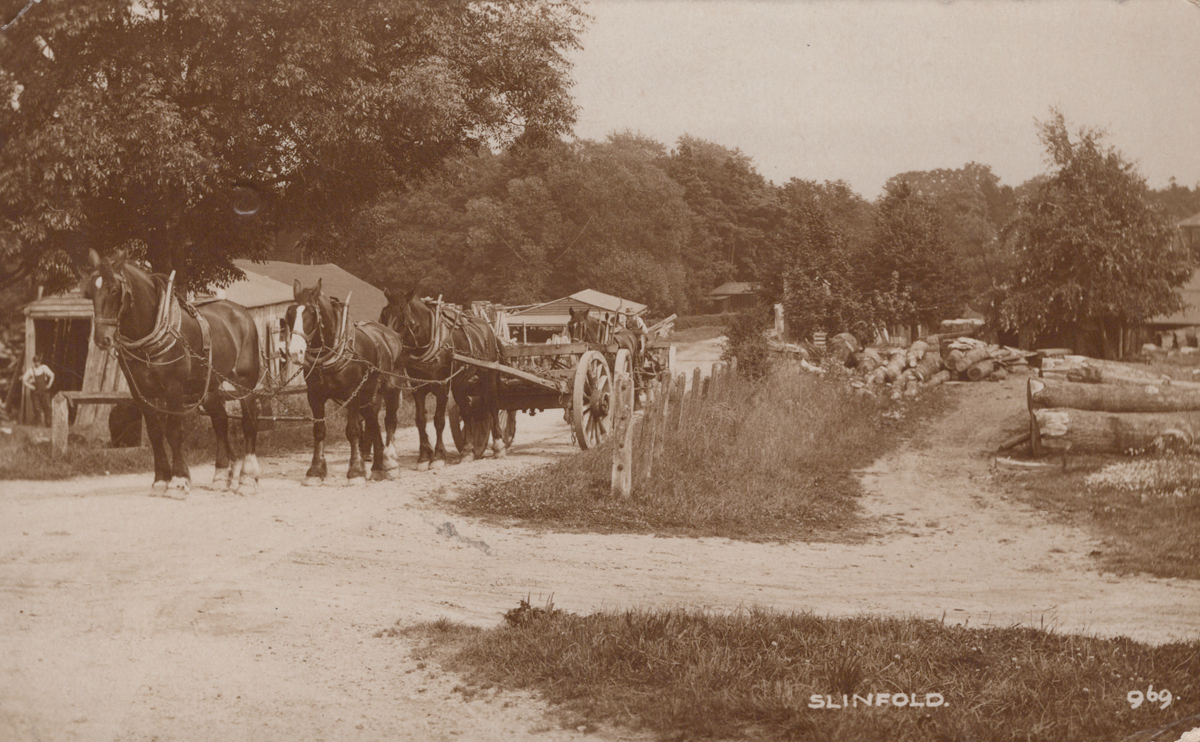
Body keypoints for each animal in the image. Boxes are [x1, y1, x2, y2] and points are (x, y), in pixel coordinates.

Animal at [84, 248, 262, 497]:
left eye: (113, 290)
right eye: (90, 292)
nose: (103, 339)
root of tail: (241, 312)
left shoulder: (174, 388)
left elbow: (174, 432)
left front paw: (178, 481)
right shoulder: (142, 392)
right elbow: (155, 434)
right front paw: (161, 480)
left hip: (244, 382)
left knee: (249, 423)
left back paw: (247, 478)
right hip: (207, 388)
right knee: (220, 422)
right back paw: (220, 475)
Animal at [283, 278, 405, 485]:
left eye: (311, 314)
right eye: (290, 313)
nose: (294, 352)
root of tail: (391, 335)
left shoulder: (352, 395)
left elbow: (353, 430)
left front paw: (355, 471)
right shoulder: (314, 396)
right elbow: (319, 430)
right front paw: (315, 470)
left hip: (391, 390)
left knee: (389, 422)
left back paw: (391, 463)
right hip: (369, 396)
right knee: (373, 424)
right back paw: (377, 467)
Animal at [376, 285, 504, 465]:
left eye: (406, 318)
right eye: (384, 315)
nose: (387, 343)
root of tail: (487, 326)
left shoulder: (442, 386)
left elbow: (439, 420)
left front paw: (437, 456)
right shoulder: (417, 387)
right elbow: (420, 420)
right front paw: (424, 456)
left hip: (488, 375)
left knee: (493, 404)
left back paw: (499, 446)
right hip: (460, 384)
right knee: (467, 411)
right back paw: (467, 450)